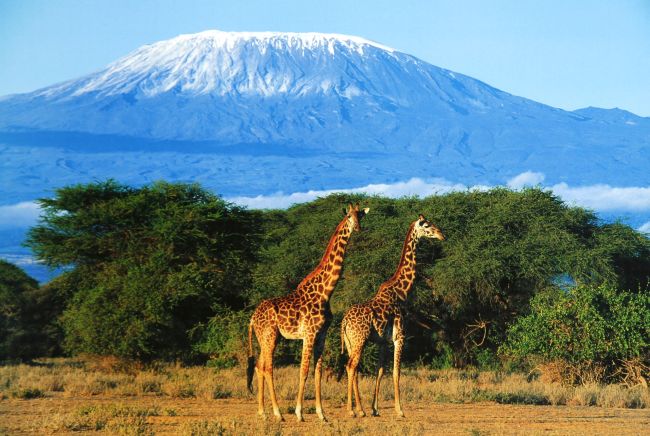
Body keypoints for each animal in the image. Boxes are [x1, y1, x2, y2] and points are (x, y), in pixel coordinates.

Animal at [247, 203, 368, 420]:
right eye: (348, 216)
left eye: (360, 215)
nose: (358, 228)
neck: (325, 292)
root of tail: (252, 318)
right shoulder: (309, 334)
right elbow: (303, 371)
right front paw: (299, 412)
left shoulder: (321, 335)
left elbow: (317, 372)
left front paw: (322, 414)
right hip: (269, 336)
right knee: (268, 367)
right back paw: (278, 413)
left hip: (266, 338)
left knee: (260, 366)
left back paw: (262, 412)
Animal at [340, 213, 440, 418]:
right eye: (426, 225)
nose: (441, 234)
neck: (401, 292)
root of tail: (344, 322)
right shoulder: (399, 337)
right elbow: (396, 371)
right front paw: (400, 410)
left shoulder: (383, 342)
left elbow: (380, 371)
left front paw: (375, 409)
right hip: (360, 339)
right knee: (351, 366)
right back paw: (352, 411)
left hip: (351, 342)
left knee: (352, 366)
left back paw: (360, 409)